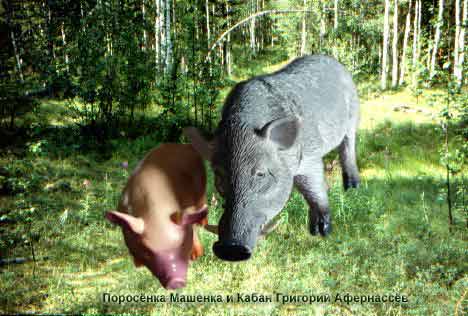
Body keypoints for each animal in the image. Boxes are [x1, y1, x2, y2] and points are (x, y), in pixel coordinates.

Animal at [107, 143, 209, 288]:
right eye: (147, 252)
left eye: (183, 245)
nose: (176, 282)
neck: (155, 213)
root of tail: (183, 145)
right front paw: (137, 265)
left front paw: (196, 256)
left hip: (201, 185)